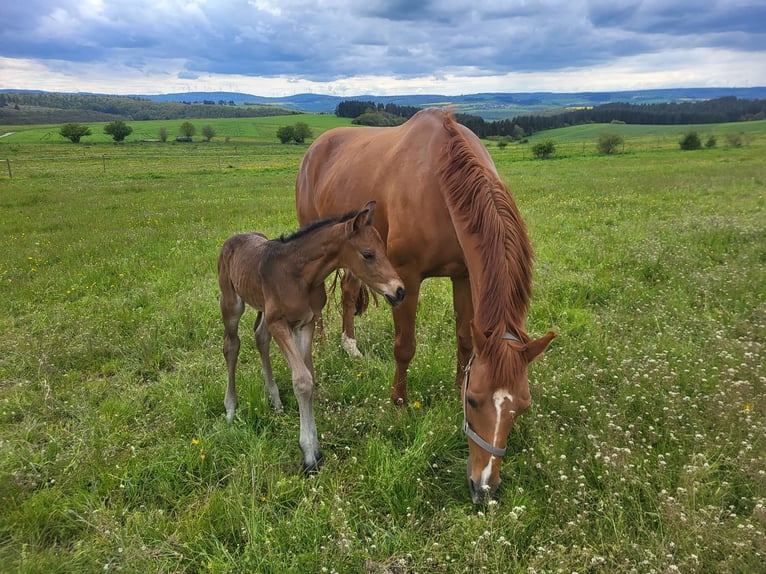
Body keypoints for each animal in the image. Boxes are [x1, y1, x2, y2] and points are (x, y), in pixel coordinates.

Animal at [218, 202, 408, 472]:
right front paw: (309, 453)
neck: (299, 275)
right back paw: (231, 409)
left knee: (260, 337)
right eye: (368, 254)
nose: (399, 291)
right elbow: (302, 380)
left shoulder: (305, 323)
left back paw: (275, 401)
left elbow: (310, 375)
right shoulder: (280, 323)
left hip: (263, 308)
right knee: (231, 345)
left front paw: (314, 448)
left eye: (384, 249)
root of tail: (233, 238)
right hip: (231, 302)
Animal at [296, 109, 556, 504]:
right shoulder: (405, 278)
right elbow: (404, 347)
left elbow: (465, 339)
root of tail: (316, 147)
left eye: (522, 406)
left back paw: (349, 346)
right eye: (476, 401)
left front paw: (454, 387)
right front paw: (400, 405)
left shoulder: (462, 276)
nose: (484, 488)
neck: (441, 184)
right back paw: (324, 341)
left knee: (348, 291)